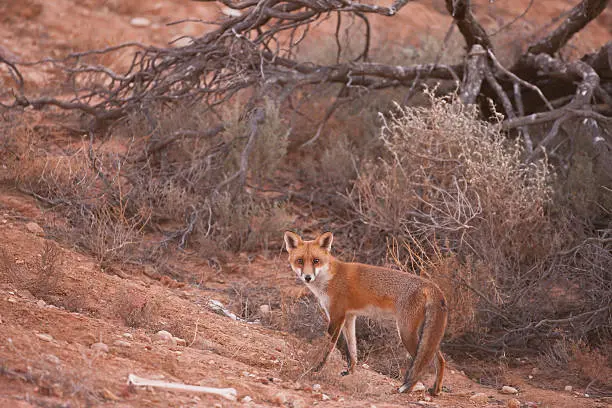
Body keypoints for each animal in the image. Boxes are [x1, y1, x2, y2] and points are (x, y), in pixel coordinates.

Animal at [284, 233, 450, 396]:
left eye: (316, 261)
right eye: (300, 261)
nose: (307, 277)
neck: (330, 278)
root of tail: (431, 285)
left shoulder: (337, 316)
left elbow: (327, 348)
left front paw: (315, 368)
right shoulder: (349, 317)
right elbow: (352, 351)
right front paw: (350, 372)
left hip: (406, 332)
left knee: (425, 363)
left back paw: (408, 389)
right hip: (422, 335)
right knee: (439, 359)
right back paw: (435, 390)